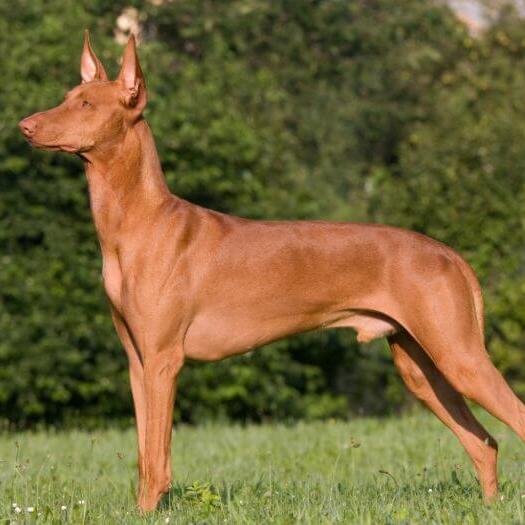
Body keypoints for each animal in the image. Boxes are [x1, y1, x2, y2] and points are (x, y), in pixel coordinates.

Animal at [18, 30, 520, 510]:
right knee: (484, 443)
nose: (25, 126)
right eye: (67, 96)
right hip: (421, 369)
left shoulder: (163, 360)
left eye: (86, 104)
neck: (140, 224)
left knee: (514, 419)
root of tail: (449, 253)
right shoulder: (138, 362)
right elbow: (145, 454)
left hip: (459, 357)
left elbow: (157, 460)